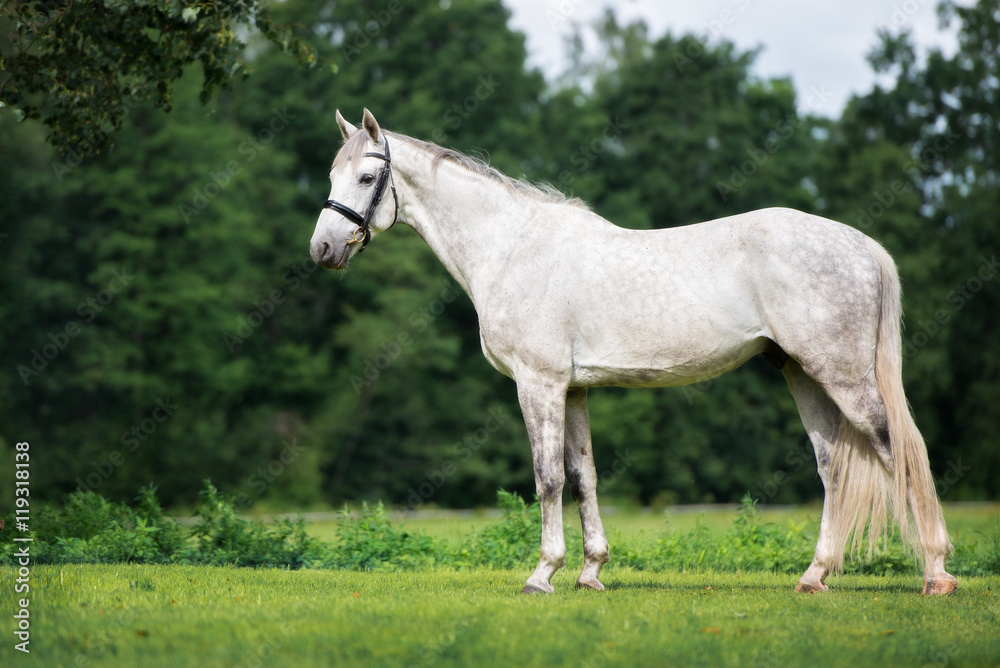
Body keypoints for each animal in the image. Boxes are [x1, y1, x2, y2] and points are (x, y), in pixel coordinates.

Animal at [309, 109, 957, 596]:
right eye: (332, 174)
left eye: (365, 178)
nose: (322, 249)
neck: (512, 247)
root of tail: (862, 244)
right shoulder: (574, 388)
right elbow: (584, 475)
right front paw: (591, 572)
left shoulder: (538, 383)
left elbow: (548, 478)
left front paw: (542, 574)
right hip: (803, 374)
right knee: (833, 469)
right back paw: (814, 576)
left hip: (843, 375)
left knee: (898, 451)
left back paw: (935, 572)